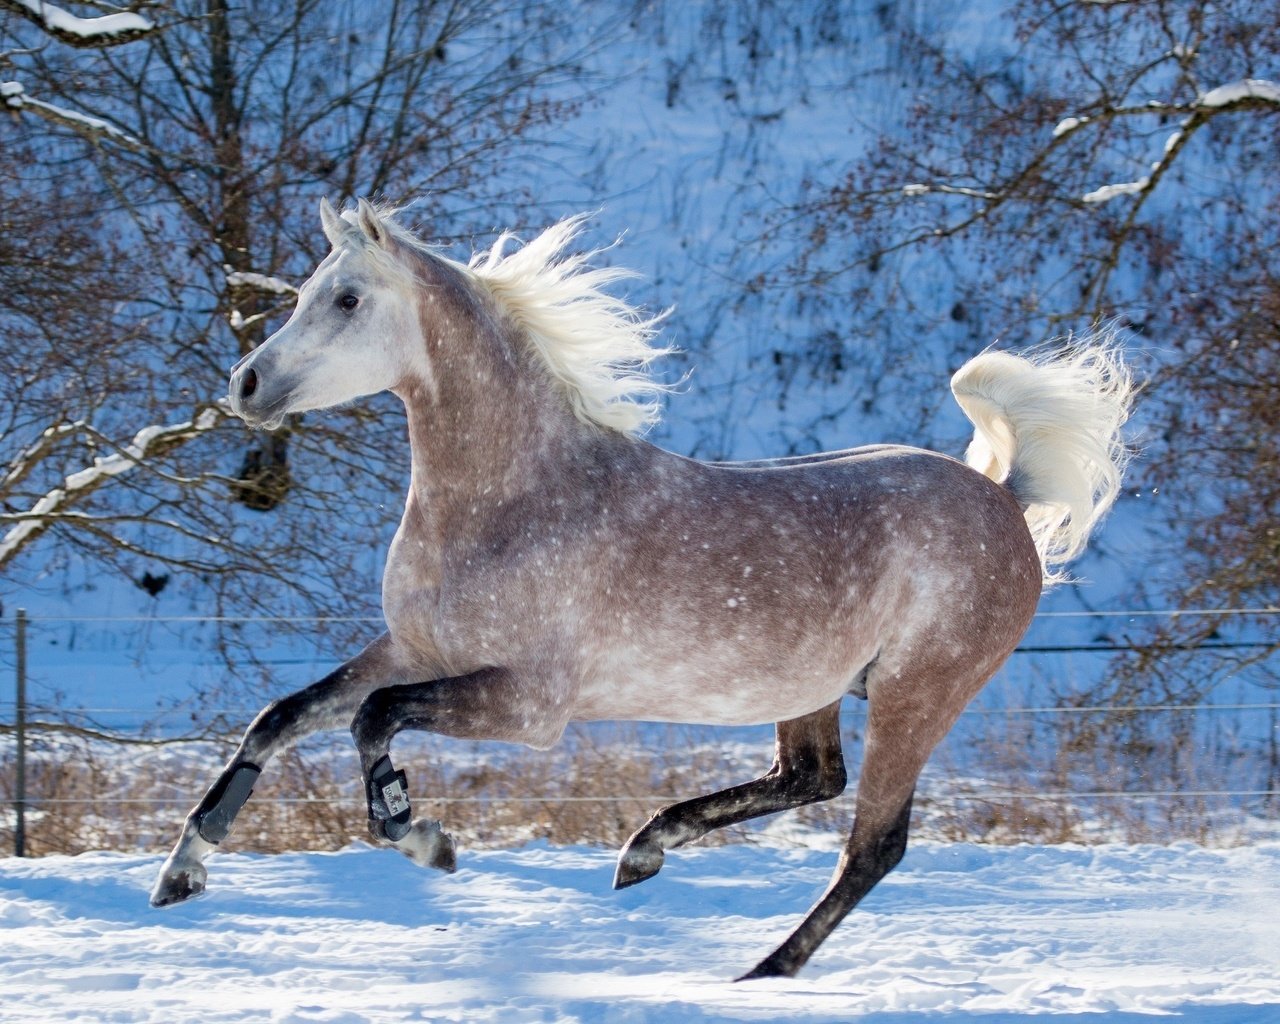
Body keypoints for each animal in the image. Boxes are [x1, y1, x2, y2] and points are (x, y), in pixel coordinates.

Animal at [147, 198, 1131, 977]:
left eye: (347, 299)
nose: (246, 384)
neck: (515, 499)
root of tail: (1005, 500)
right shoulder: (412, 648)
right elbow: (282, 717)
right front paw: (181, 872)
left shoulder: (529, 705)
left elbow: (370, 720)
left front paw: (426, 840)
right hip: (812, 688)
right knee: (809, 777)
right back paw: (646, 851)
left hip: (917, 694)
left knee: (873, 846)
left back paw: (761, 971)